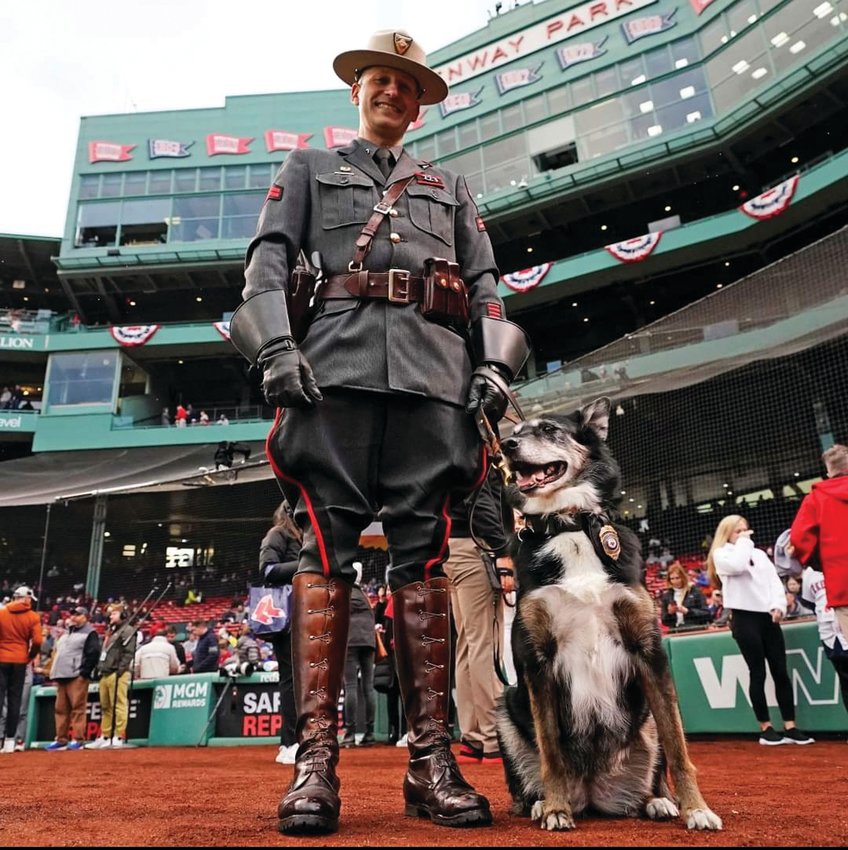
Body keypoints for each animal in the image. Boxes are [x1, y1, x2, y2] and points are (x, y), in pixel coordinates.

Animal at [496, 398, 724, 828]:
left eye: (550, 429)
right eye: (513, 433)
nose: (505, 446)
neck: (570, 526)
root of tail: (592, 793)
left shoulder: (649, 653)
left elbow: (679, 748)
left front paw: (697, 809)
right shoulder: (537, 662)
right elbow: (550, 750)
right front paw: (555, 809)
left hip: (645, 717)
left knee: (657, 768)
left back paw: (657, 800)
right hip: (506, 707)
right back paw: (542, 803)